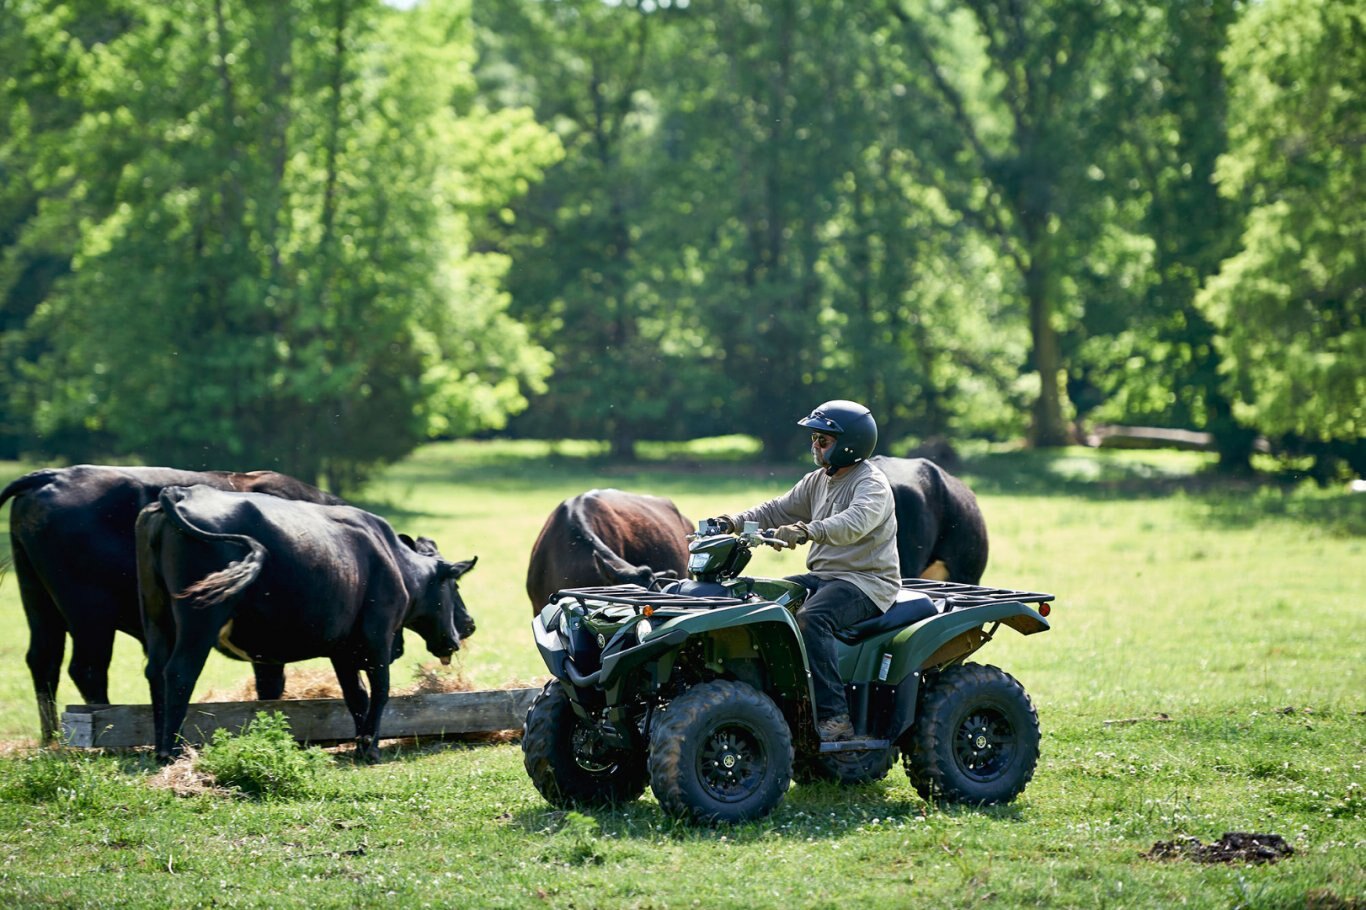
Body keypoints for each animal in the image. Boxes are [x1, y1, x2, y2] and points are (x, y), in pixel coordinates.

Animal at [0, 461, 346, 737]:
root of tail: (55, 475)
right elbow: (271, 681)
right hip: (90, 615)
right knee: (87, 668)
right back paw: (104, 722)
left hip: (40, 603)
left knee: (44, 661)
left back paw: (52, 739)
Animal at [133, 486, 475, 759]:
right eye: (455, 585)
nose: (469, 625)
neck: (393, 560)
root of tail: (182, 492)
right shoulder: (378, 638)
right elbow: (380, 691)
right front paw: (371, 749)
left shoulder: (343, 648)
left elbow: (356, 695)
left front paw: (360, 744)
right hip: (199, 621)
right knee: (180, 673)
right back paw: (172, 751)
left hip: (157, 617)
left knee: (155, 673)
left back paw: (159, 746)